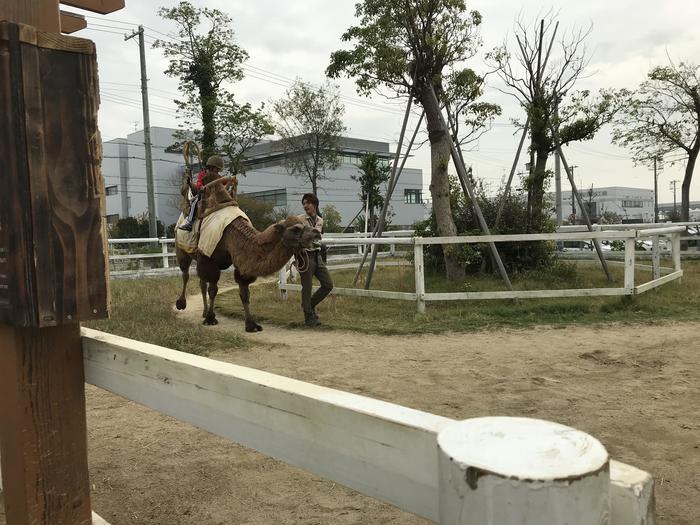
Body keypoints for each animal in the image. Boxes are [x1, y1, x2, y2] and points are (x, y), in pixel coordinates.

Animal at [175, 212, 320, 328]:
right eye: (296, 229)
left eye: (305, 223)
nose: (317, 233)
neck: (230, 237)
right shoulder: (208, 258)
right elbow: (213, 289)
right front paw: (211, 319)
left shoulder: (240, 264)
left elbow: (244, 292)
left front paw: (251, 324)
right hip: (182, 250)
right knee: (186, 274)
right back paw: (181, 304)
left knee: (202, 283)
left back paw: (204, 312)